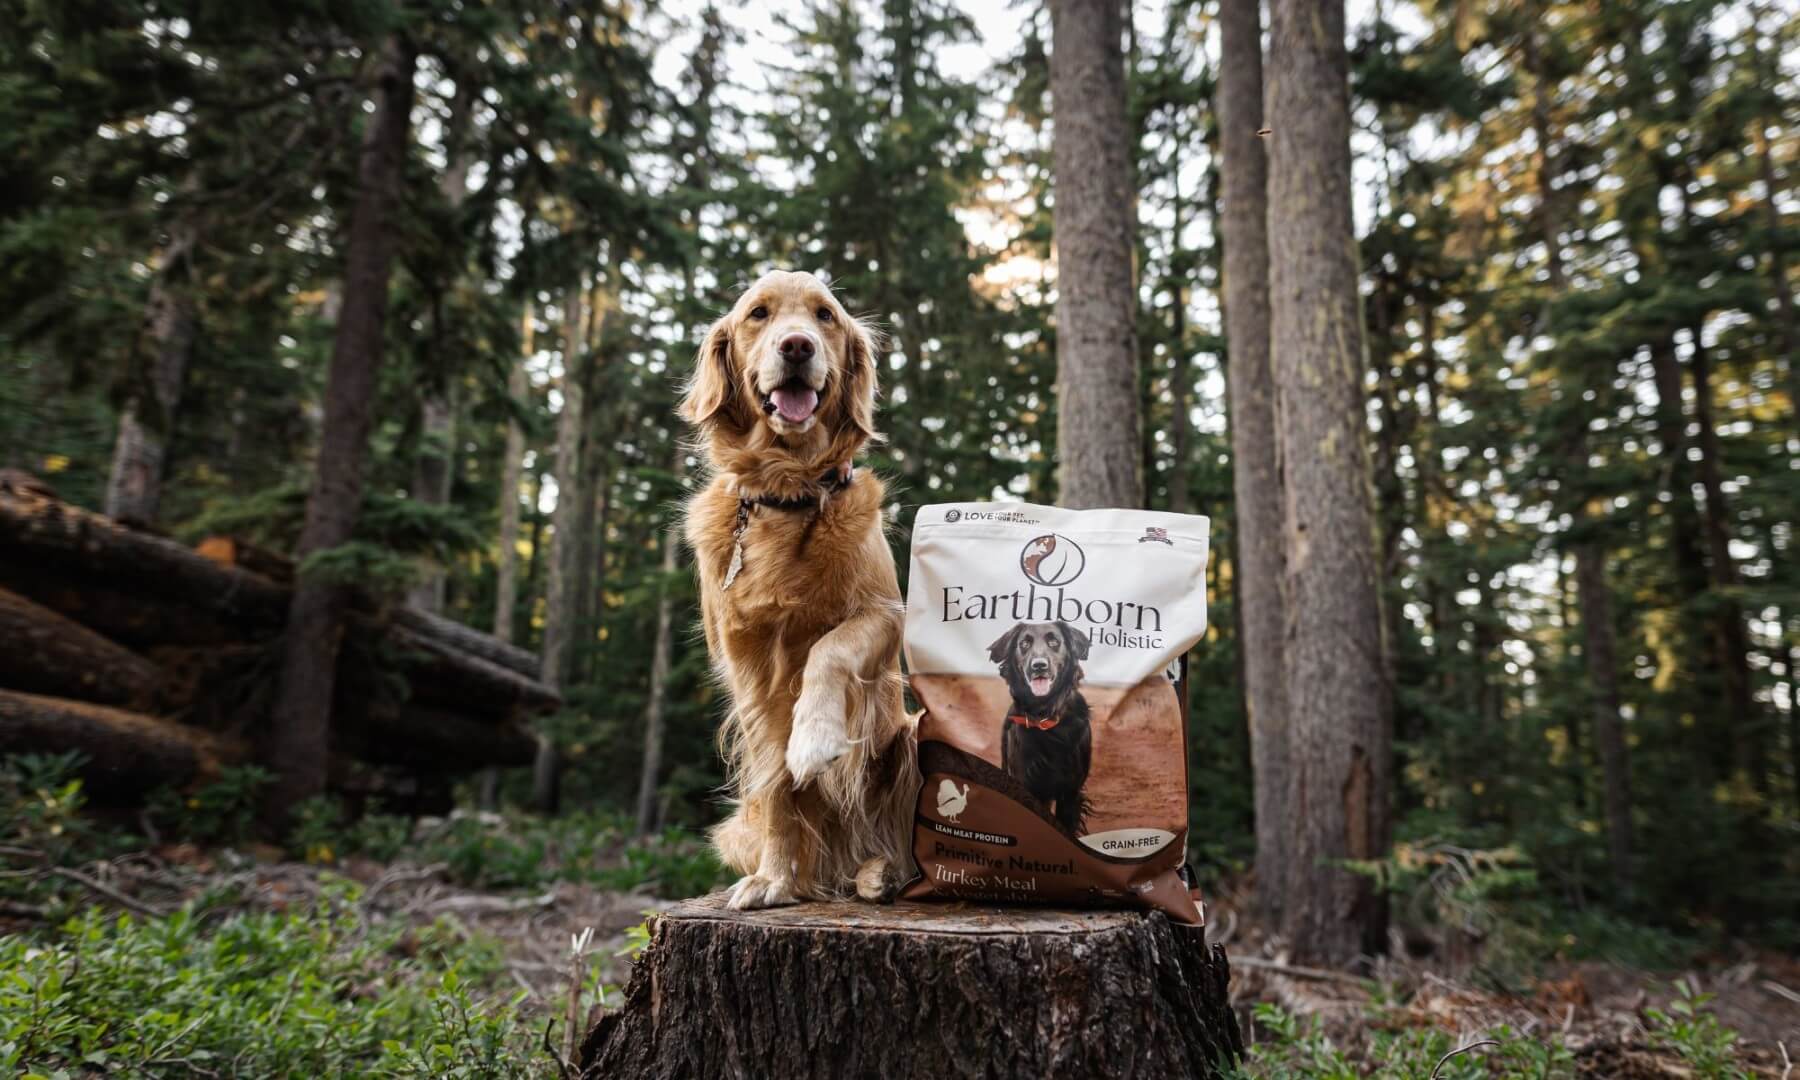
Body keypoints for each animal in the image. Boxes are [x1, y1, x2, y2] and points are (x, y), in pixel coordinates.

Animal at [680, 270, 921, 910]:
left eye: (825, 316)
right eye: (758, 314)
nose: (797, 346)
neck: (787, 494)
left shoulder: (885, 616)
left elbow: (827, 651)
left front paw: (814, 737)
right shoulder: (746, 665)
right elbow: (780, 784)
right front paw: (775, 880)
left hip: (912, 737)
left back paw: (882, 873)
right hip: (736, 827)